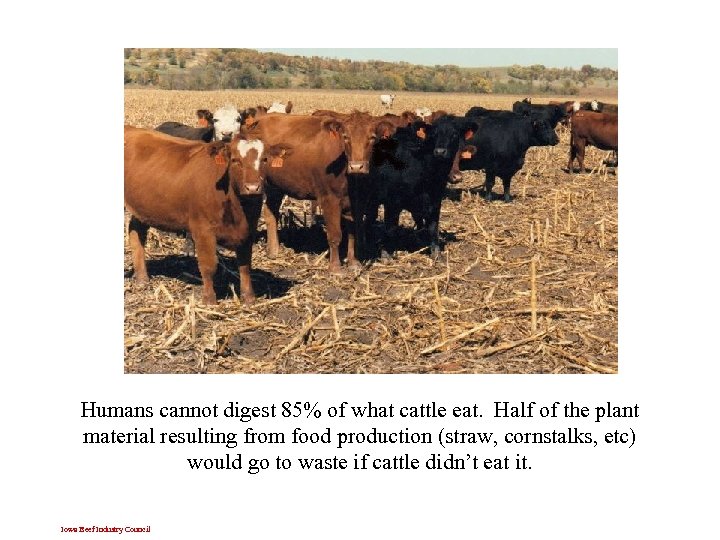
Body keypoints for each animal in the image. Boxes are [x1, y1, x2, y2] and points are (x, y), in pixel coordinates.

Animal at [124, 126, 290, 304]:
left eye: (265, 159)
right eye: (235, 160)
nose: (252, 187)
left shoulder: (248, 230)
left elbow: (245, 265)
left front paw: (249, 298)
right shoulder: (203, 230)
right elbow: (209, 266)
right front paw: (209, 300)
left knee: (136, 232)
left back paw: (142, 278)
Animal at [239, 112, 394, 272]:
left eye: (372, 137)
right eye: (345, 137)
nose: (357, 167)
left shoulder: (357, 200)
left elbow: (352, 232)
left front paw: (353, 262)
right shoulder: (329, 199)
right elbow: (335, 235)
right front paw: (335, 268)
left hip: (276, 187)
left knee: (271, 213)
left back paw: (274, 251)